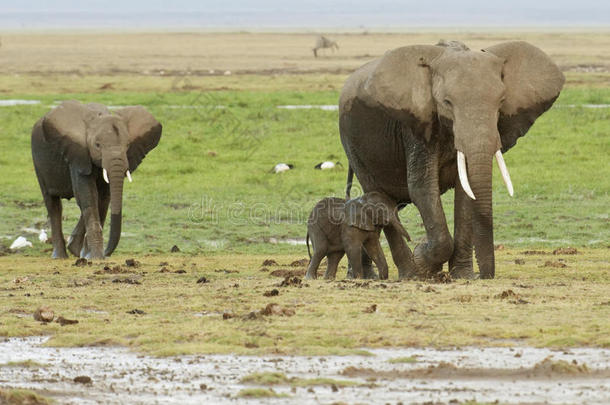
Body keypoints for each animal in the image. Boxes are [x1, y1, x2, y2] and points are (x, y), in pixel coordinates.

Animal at [32, 101, 162, 258]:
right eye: (97, 145)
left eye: (127, 145)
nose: (107, 253)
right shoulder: (77, 154)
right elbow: (87, 195)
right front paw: (95, 257)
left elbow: (103, 198)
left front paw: (88, 255)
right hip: (38, 163)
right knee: (53, 205)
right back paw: (60, 256)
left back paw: (75, 250)